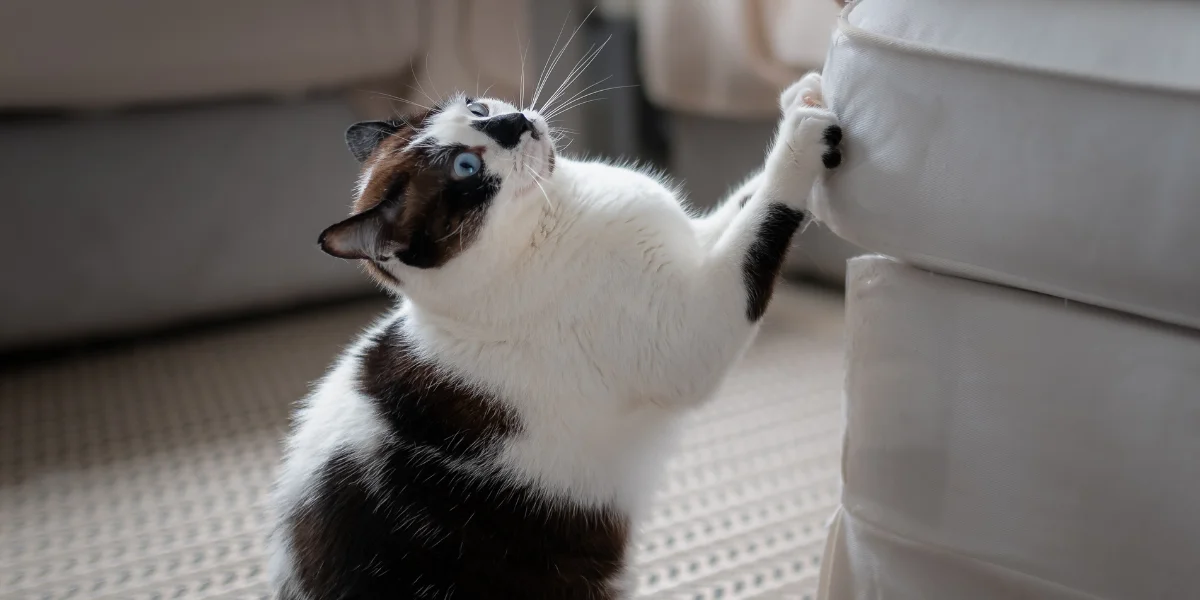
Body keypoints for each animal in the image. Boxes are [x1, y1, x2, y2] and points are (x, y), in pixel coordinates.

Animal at [267, 71, 840, 600]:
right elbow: (761, 226)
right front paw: (801, 137)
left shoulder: (694, 245)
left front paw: (804, 96)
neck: (556, 215)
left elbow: (743, 202)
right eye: (465, 168)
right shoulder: (691, 332)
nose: (514, 122)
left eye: (477, 108)